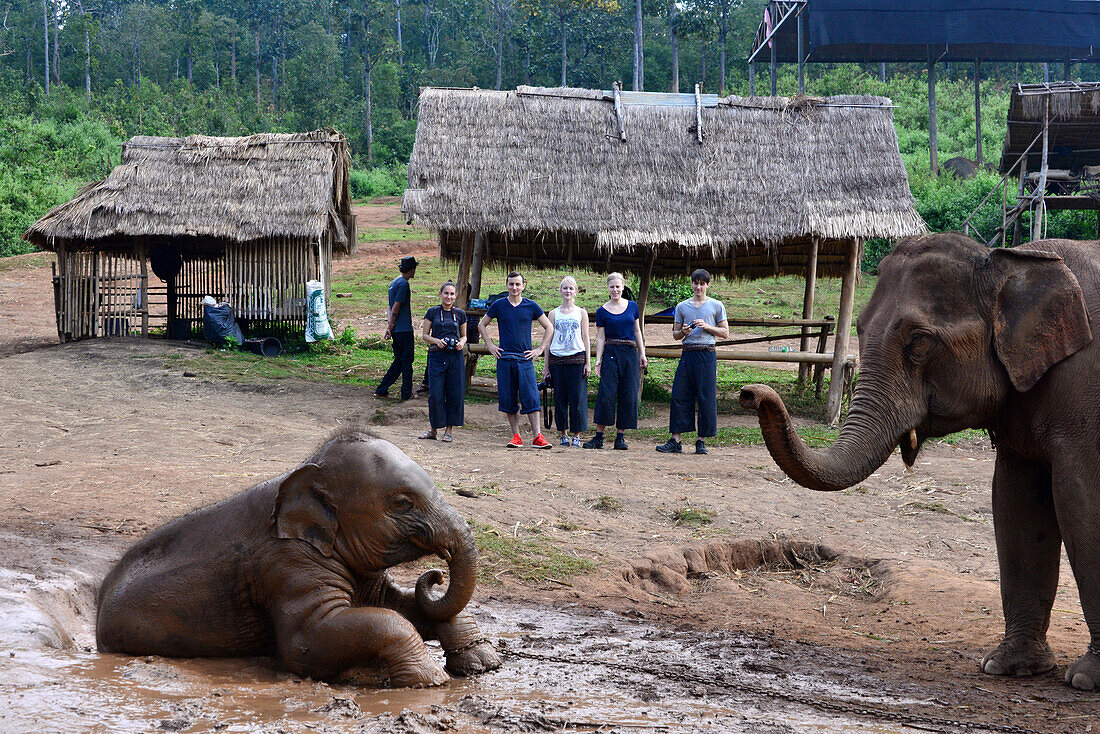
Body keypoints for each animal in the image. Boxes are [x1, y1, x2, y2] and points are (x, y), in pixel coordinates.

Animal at [96, 426, 501, 686]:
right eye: (403, 502)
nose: (435, 575)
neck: (307, 471)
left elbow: (396, 605)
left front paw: (482, 665)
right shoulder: (287, 564)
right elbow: (309, 641)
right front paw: (430, 680)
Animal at [739, 232, 1100, 691]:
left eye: (918, 341)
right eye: (858, 328)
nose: (750, 394)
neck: (1012, 262)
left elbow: (1080, 501)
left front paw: (1086, 679)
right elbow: (1016, 504)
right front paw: (1007, 667)